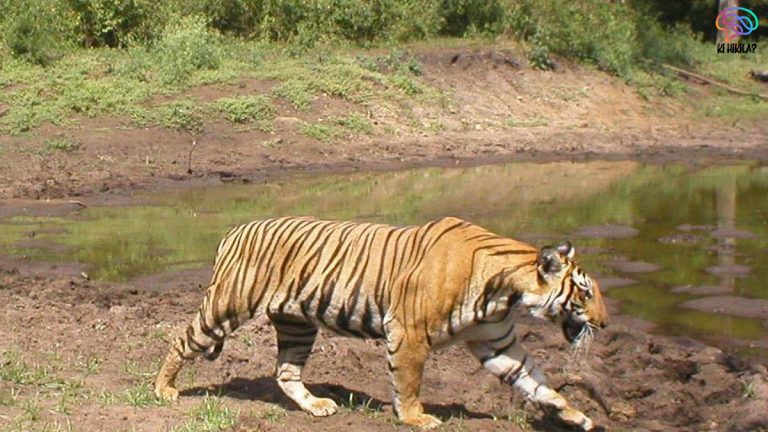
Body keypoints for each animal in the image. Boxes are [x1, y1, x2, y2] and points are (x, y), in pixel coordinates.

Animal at [155, 216, 608, 430]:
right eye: (585, 293)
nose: (604, 325)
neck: (507, 293)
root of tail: (235, 230)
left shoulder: (497, 343)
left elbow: (537, 382)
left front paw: (576, 416)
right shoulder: (409, 334)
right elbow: (408, 382)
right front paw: (416, 418)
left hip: (297, 324)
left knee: (285, 372)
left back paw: (316, 406)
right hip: (227, 306)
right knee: (182, 338)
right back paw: (164, 389)